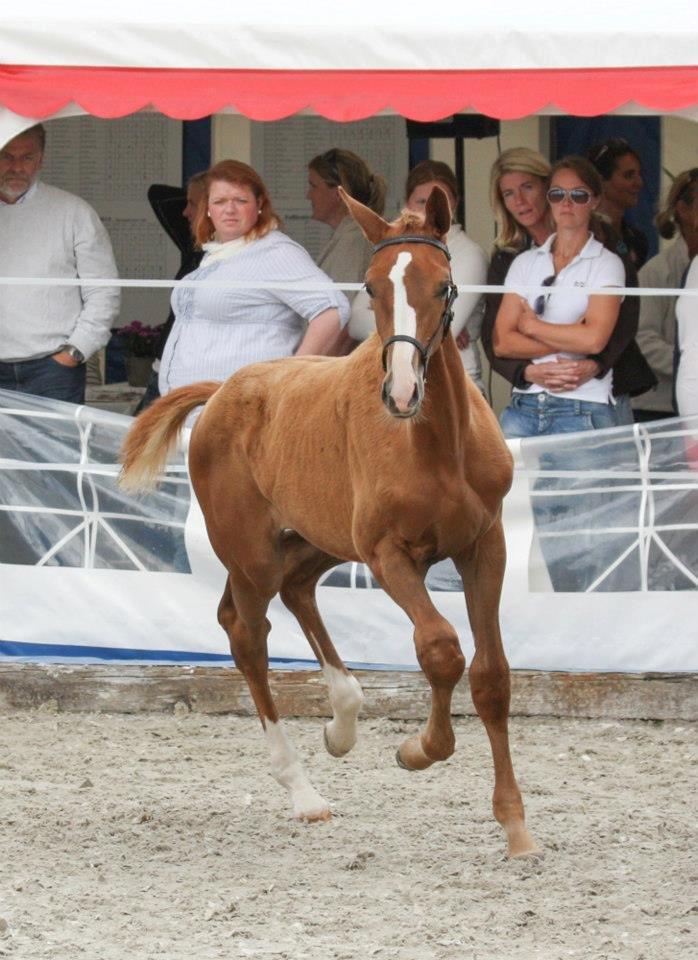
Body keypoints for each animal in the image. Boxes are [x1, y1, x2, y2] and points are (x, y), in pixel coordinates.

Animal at [121, 186, 540, 856]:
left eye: (446, 286)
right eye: (370, 286)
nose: (401, 392)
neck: (439, 445)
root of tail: (221, 391)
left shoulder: (484, 545)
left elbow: (492, 675)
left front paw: (516, 826)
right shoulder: (389, 554)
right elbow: (440, 649)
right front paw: (419, 748)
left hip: (317, 539)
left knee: (296, 591)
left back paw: (342, 723)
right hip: (253, 553)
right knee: (247, 634)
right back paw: (303, 791)